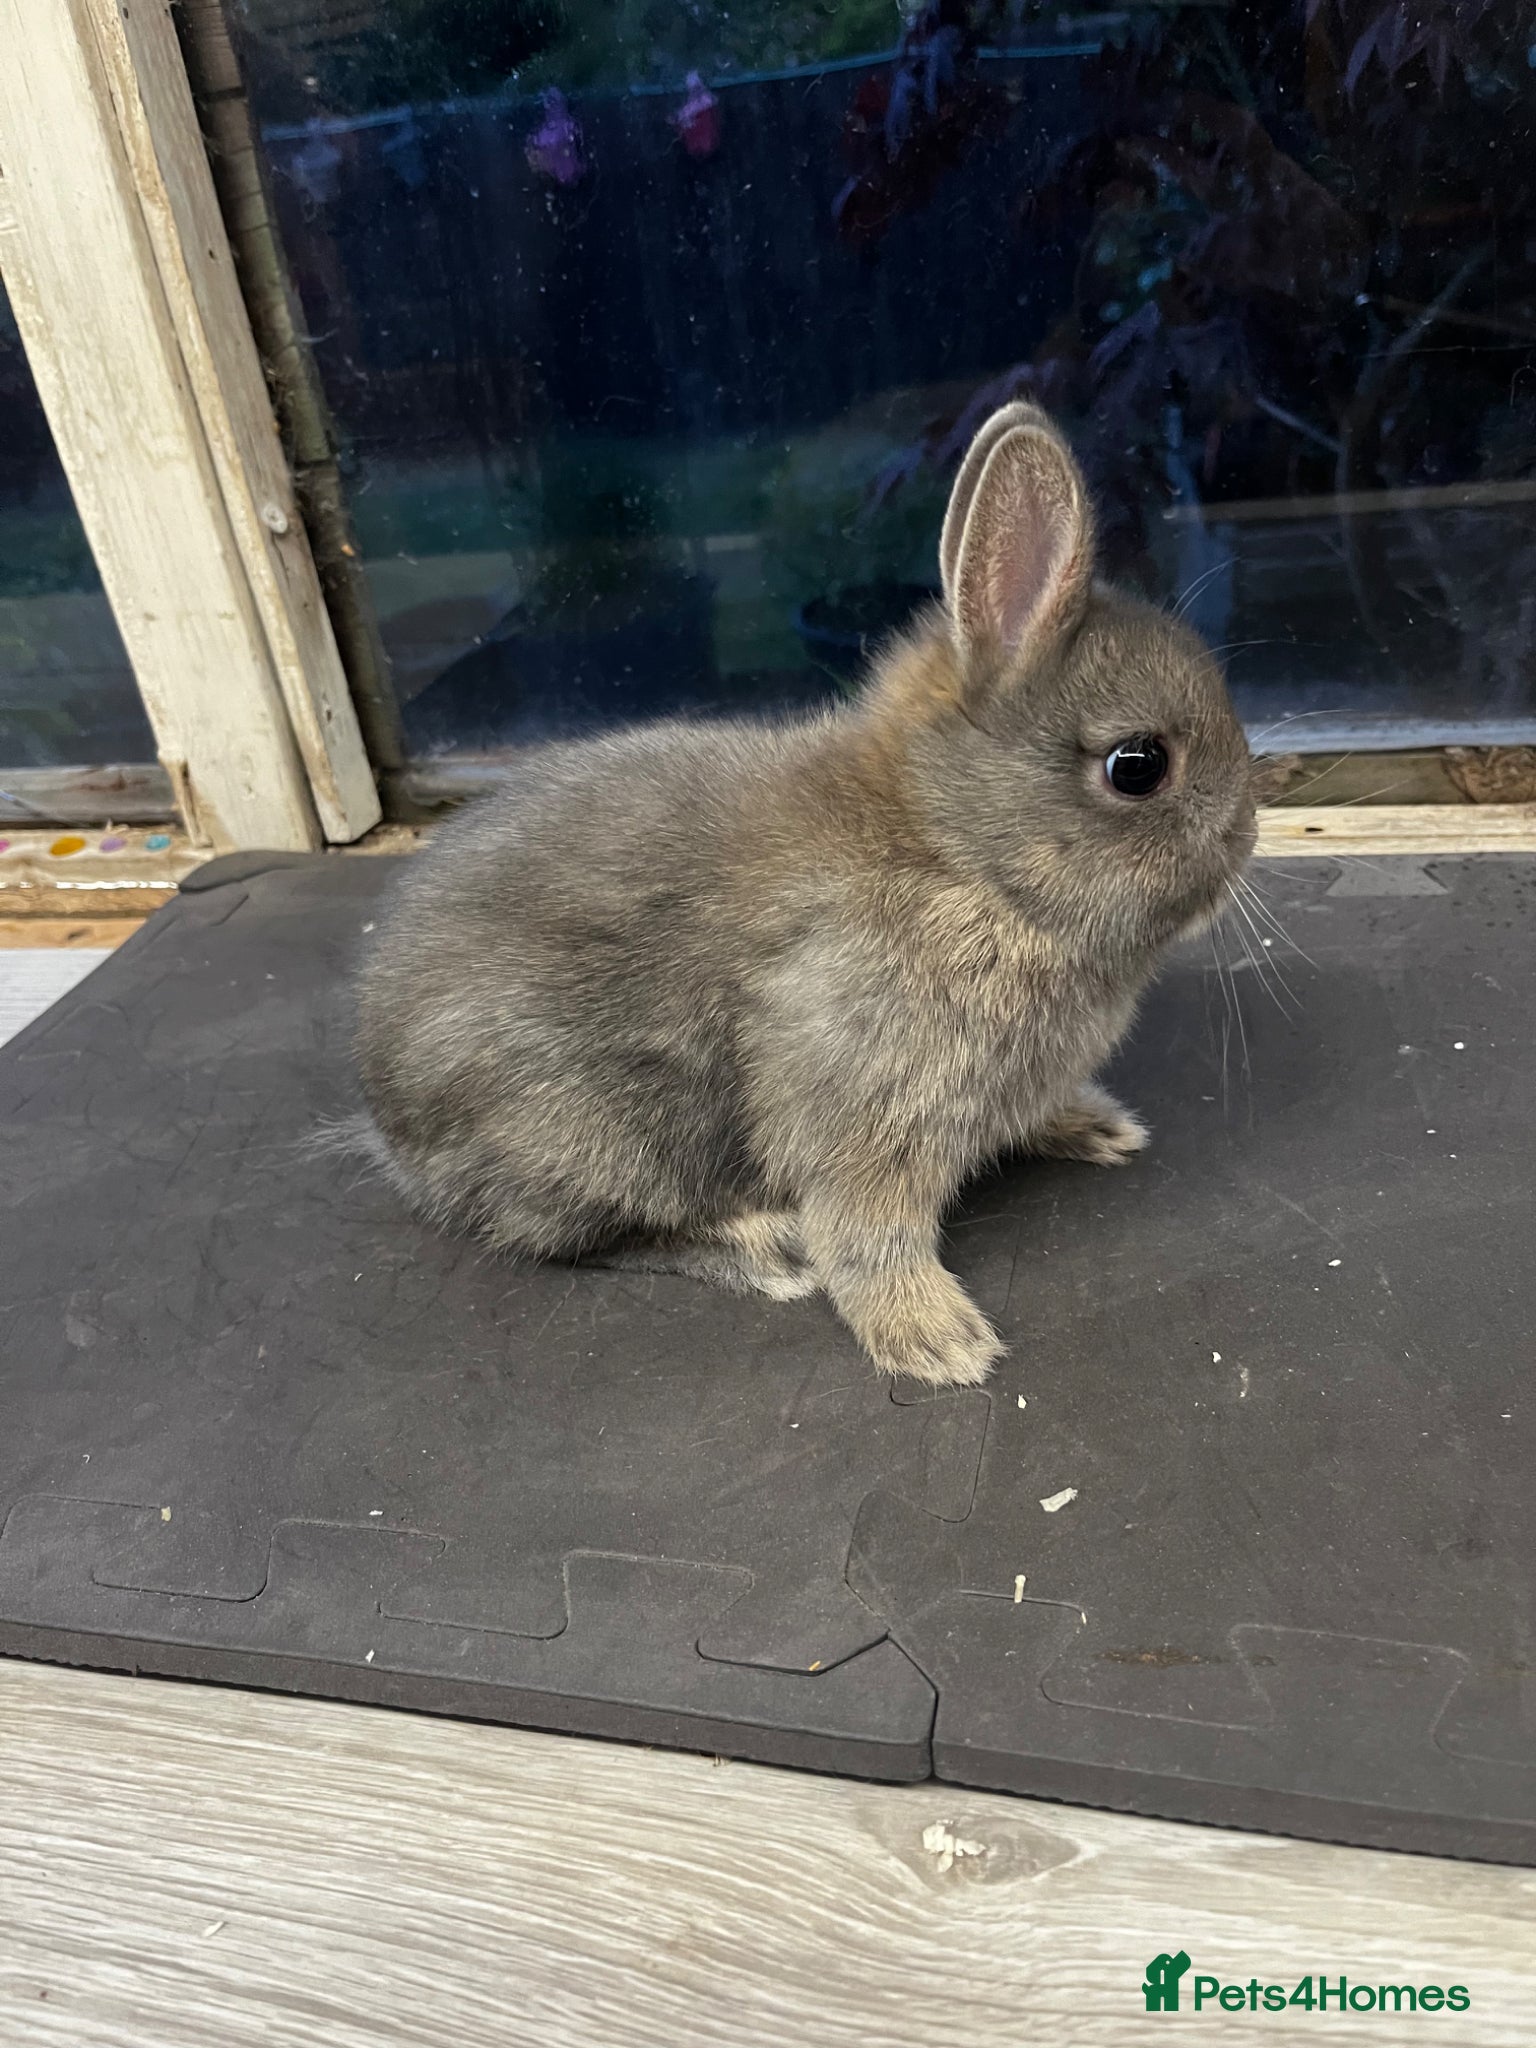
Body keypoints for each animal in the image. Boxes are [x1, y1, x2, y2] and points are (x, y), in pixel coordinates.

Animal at [352, 402, 1261, 1387]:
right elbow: (864, 1230)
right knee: (565, 1234)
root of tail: (393, 1132)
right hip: (593, 1131)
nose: (1247, 835)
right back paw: (764, 1248)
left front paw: (1096, 1127)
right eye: (1138, 766)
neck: (958, 855)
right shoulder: (858, 1101)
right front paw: (936, 1340)